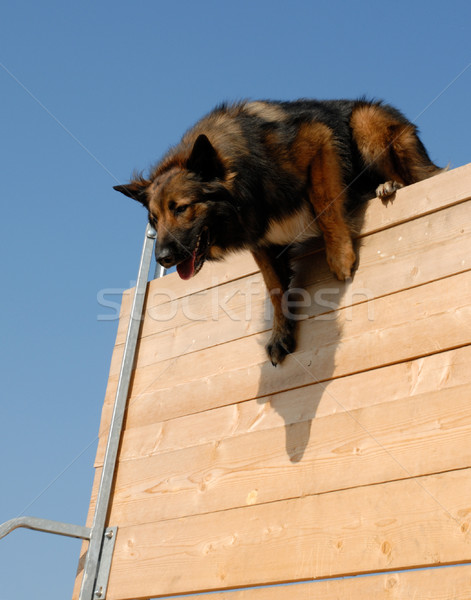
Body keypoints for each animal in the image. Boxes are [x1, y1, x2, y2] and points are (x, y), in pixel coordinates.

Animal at [114, 97, 442, 366]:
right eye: (154, 219)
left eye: (181, 208)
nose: (163, 258)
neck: (247, 168)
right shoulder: (260, 236)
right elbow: (274, 287)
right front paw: (281, 333)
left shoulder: (318, 139)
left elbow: (324, 200)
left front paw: (339, 255)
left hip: (365, 122)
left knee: (416, 178)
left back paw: (388, 185)